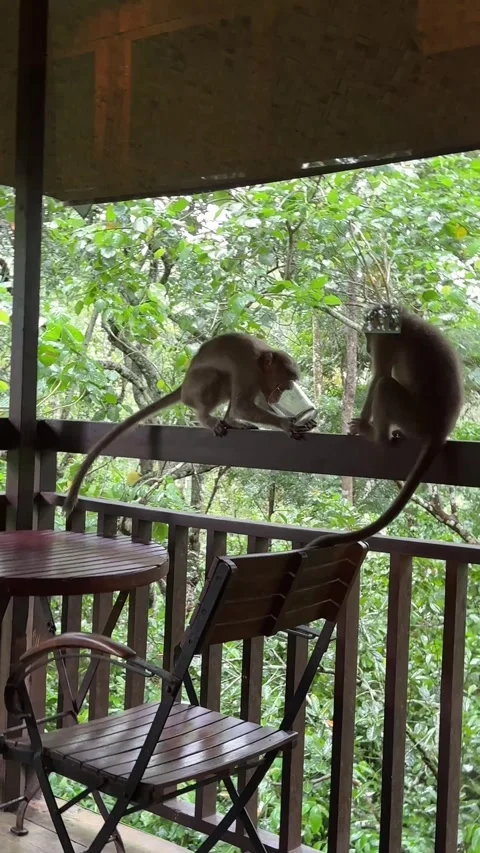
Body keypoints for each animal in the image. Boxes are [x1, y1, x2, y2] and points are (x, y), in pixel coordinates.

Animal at [64, 332, 313, 517]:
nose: (282, 394)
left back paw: (231, 421)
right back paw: (208, 418)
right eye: (283, 384)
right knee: (218, 377)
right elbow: (243, 404)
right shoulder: (248, 370)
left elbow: (257, 401)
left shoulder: (259, 380)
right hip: (196, 387)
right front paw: (286, 423)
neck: (261, 362)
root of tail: (183, 387)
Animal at [307, 304, 463, 548]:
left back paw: (374, 434)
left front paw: (361, 423)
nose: (367, 348)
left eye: (369, 334)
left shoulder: (385, 339)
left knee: (385, 386)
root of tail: (441, 431)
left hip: (415, 418)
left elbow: (379, 376)